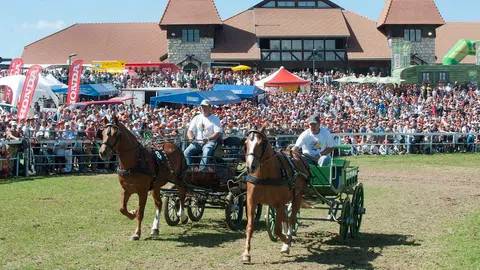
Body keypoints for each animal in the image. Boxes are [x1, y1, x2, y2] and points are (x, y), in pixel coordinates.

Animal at [242, 125, 310, 262]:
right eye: (245, 143)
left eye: (261, 143)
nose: (250, 166)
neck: (265, 176)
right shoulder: (251, 201)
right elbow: (250, 226)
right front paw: (246, 253)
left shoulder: (280, 203)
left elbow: (278, 230)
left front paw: (286, 241)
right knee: (286, 218)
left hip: (297, 196)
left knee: (292, 218)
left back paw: (287, 242)